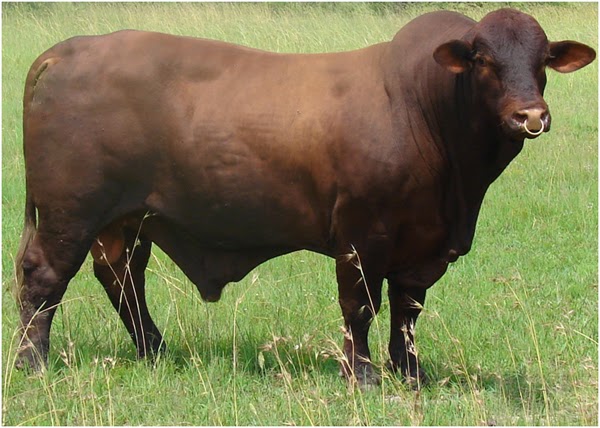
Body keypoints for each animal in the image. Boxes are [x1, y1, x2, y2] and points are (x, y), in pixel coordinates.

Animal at [15, 9, 596, 388]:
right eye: (482, 58)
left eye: (542, 60)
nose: (530, 115)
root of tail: (67, 50)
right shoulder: (362, 236)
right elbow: (361, 306)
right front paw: (363, 376)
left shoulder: (423, 246)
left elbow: (407, 312)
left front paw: (411, 374)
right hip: (70, 212)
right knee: (44, 278)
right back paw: (32, 362)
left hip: (127, 219)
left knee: (122, 279)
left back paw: (154, 351)